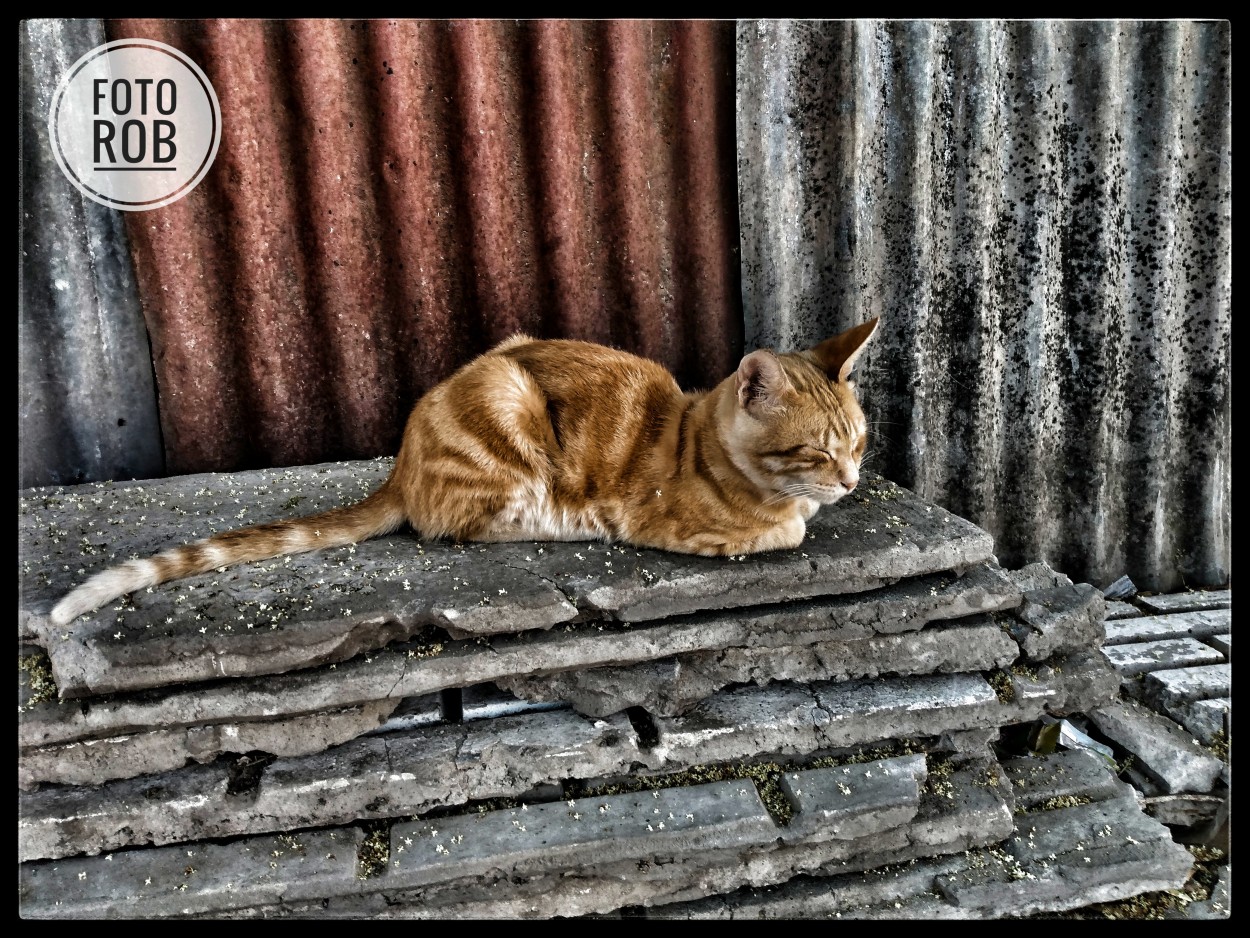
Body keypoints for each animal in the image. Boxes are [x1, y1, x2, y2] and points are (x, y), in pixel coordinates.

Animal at [48, 320, 880, 627]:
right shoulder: (675, 521)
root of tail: (402, 459)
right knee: (462, 524)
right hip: (508, 399)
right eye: (817, 452)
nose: (848, 483)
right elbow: (782, 533)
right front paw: (795, 519)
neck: (699, 434)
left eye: (861, 444)